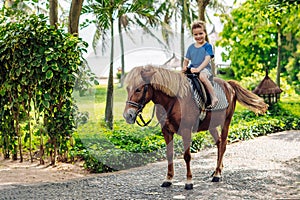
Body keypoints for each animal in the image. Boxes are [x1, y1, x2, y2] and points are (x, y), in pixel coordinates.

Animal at [122, 65, 268, 190]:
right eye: (127, 89)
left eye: (138, 89)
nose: (127, 115)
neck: (173, 100)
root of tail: (228, 84)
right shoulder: (166, 131)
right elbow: (169, 154)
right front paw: (168, 179)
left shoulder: (186, 130)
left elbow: (187, 156)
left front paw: (189, 181)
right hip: (212, 125)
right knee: (219, 143)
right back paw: (218, 170)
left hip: (226, 122)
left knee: (224, 144)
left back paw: (217, 175)